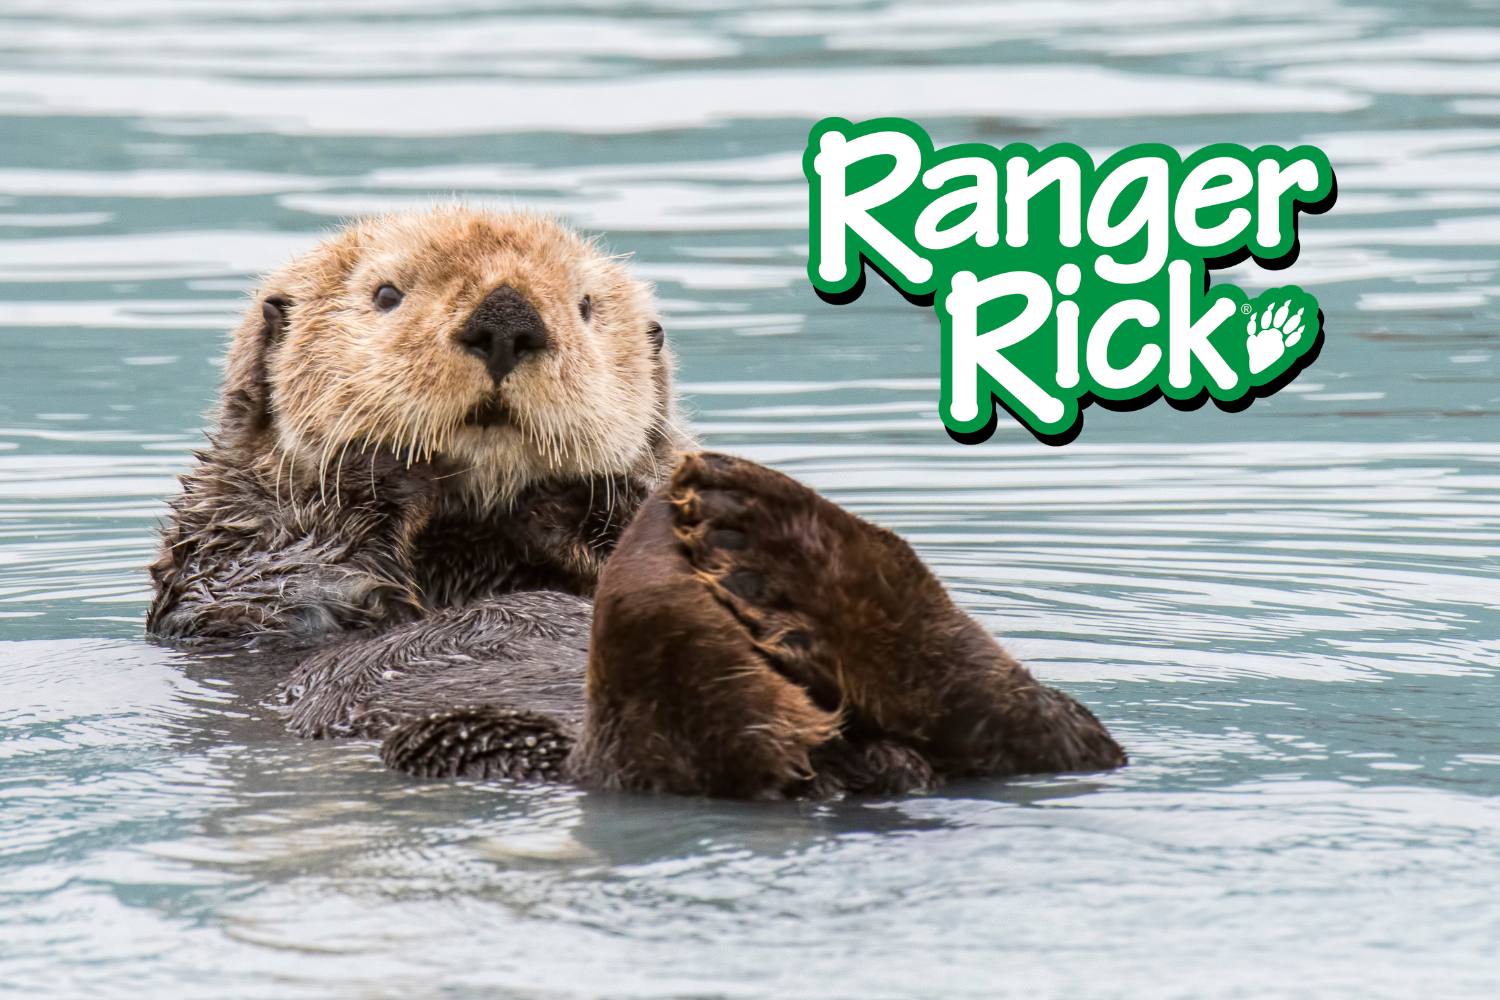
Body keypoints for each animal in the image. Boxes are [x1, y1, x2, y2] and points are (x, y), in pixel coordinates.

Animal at [148, 206, 1124, 799]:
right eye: (385, 294)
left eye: (584, 307)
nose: (508, 318)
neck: (476, 537)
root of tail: (844, 766)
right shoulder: (227, 553)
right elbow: (291, 583)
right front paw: (388, 467)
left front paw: (596, 499)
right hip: (477, 740)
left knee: (1055, 734)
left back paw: (778, 540)